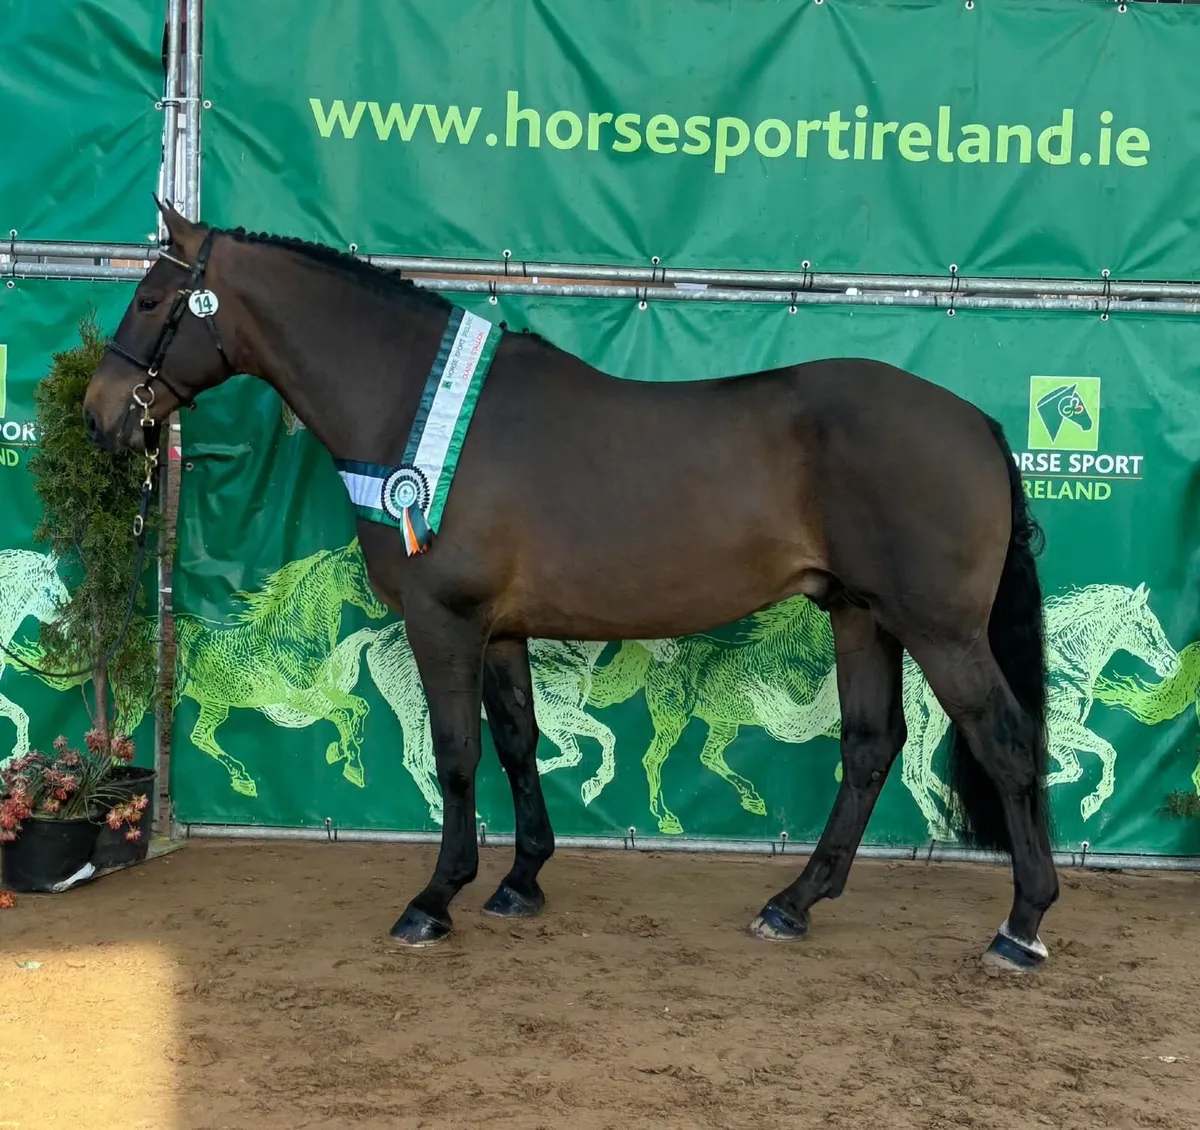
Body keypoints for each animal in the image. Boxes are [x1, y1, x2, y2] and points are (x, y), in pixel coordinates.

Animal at [82, 201, 1057, 974]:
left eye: (152, 299)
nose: (99, 413)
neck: (423, 414)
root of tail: (975, 420)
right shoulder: (502, 630)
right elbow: (519, 742)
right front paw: (521, 881)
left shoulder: (442, 621)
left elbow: (458, 755)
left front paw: (434, 899)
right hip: (860, 615)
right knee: (868, 746)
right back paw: (793, 903)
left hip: (940, 628)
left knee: (1007, 743)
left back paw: (1022, 925)